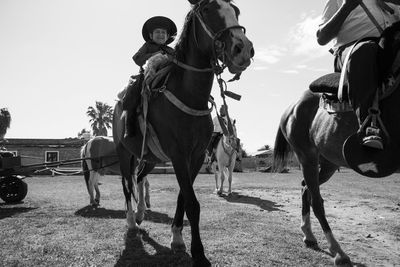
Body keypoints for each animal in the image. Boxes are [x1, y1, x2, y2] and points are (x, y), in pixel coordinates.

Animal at [111, 1, 253, 266]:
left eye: (236, 10)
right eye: (207, 9)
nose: (244, 49)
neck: (189, 94)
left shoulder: (194, 157)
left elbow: (182, 198)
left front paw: (177, 238)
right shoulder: (178, 155)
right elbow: (192, 204)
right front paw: (199, 253)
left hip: (149, 158)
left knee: (139, 179)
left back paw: (140, 214)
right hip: (124, 153)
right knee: (127, 185)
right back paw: (131, 223)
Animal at [274, 22, 400, 266]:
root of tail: (292, 107)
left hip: (328, 163)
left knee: (306, 189)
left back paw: (309, 236)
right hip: (307, 157)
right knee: (317, 201)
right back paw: (337, 251)